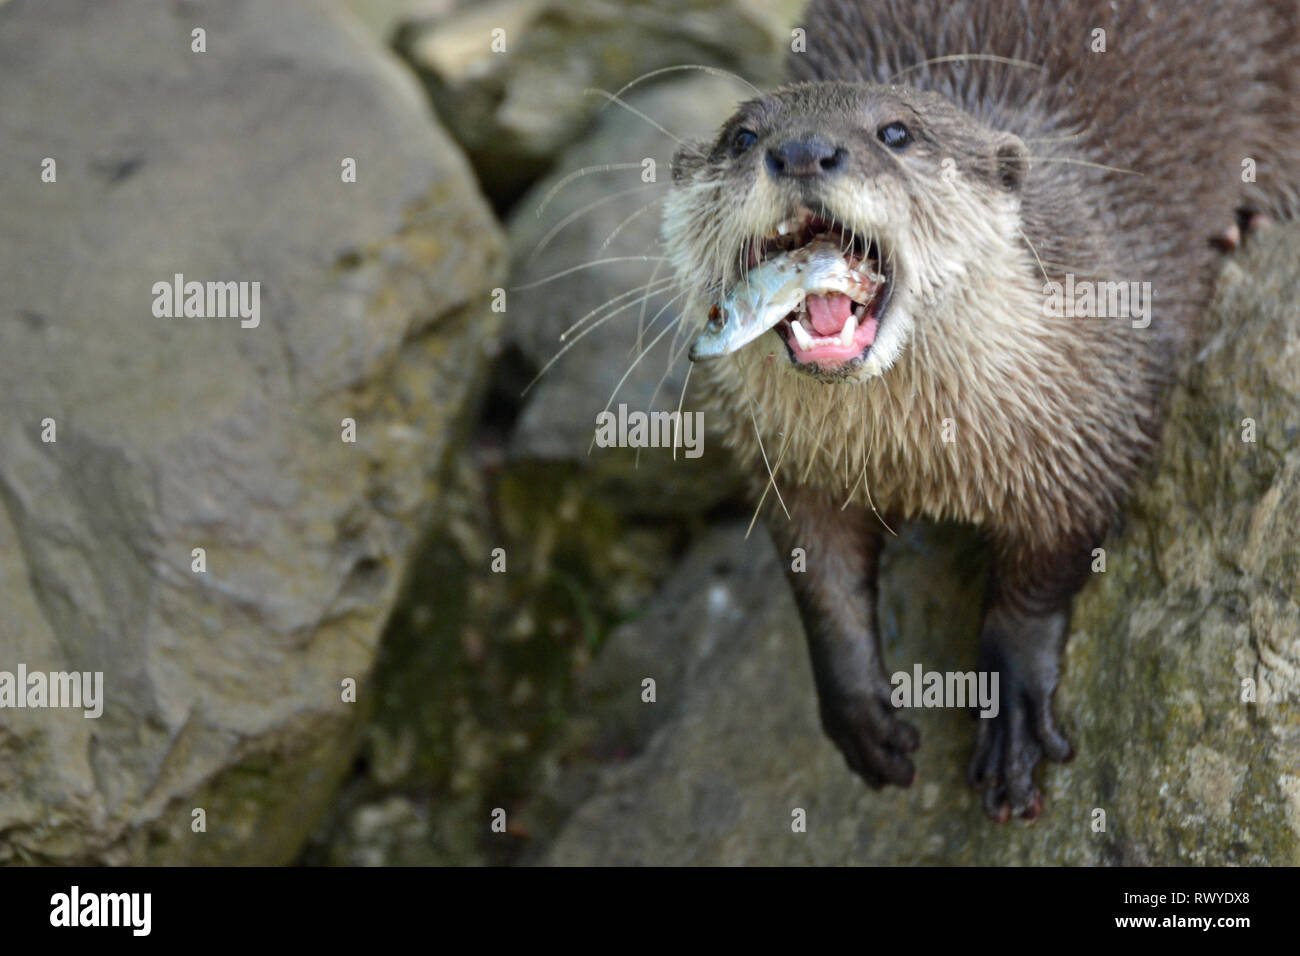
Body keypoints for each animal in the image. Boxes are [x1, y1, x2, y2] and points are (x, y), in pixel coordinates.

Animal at [665, 1, 1294, 822]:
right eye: (741, 137)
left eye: (896, 131)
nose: (802, 150)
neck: (922, 458)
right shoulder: (784, 455)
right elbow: (818, 574)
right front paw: (859, 707)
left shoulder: (1103, 409)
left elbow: (1049, 562)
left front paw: (1014, 699)